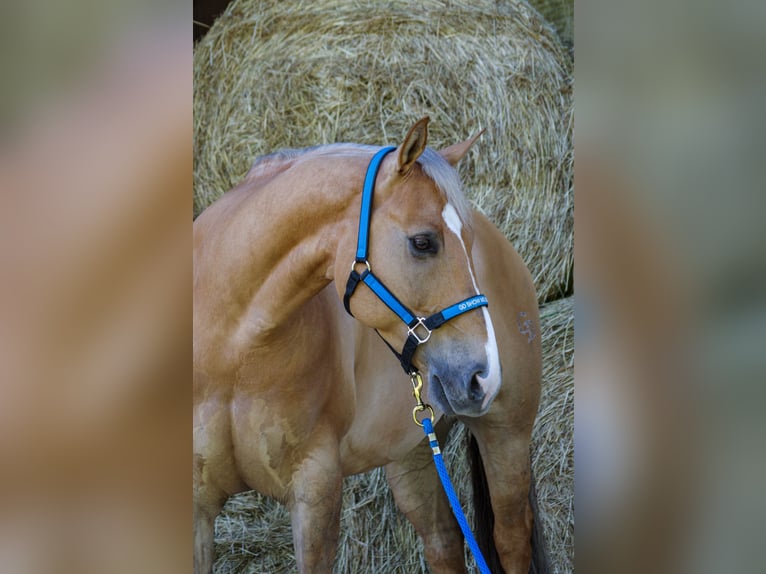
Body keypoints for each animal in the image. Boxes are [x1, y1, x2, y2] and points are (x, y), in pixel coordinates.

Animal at [193, 117, 545, 573]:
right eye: (422, 242)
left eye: (467, 243)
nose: (483, 376)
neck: (231, 356)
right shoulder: (198, 506)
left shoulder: (315, 488)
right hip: (412, 453)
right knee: (444, 541)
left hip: (506, 433)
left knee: (510, 538)